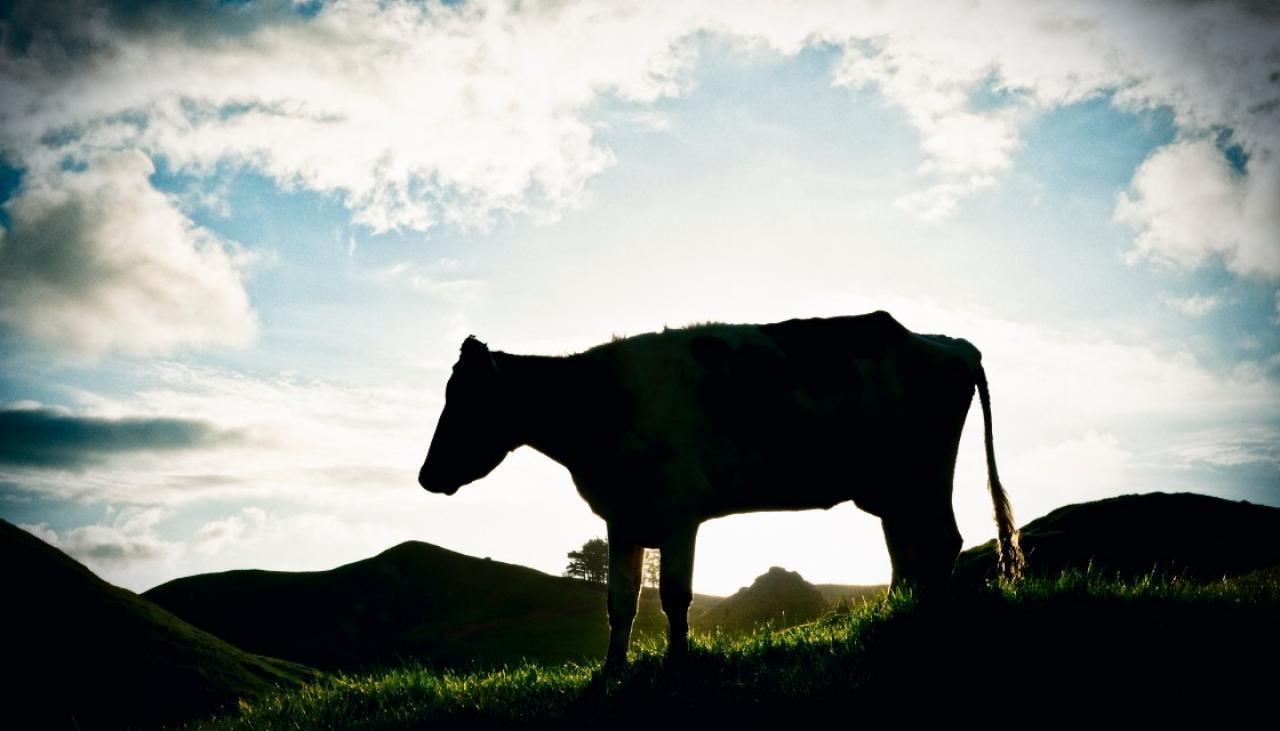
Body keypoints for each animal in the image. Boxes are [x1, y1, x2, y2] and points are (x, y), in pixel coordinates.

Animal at [414, 312, 1024, 670]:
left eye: (468, 400)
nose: (426, 476)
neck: (606, 401)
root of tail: (949, 342)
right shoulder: (622, 517)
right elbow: (620, 603)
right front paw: (609, 676)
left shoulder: (678, 514)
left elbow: (673, 599)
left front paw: (676, 671)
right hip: (892, 486)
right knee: (905, 553)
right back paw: (899, 618)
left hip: (925, 472)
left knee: (941, 543)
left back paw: (930, 625)